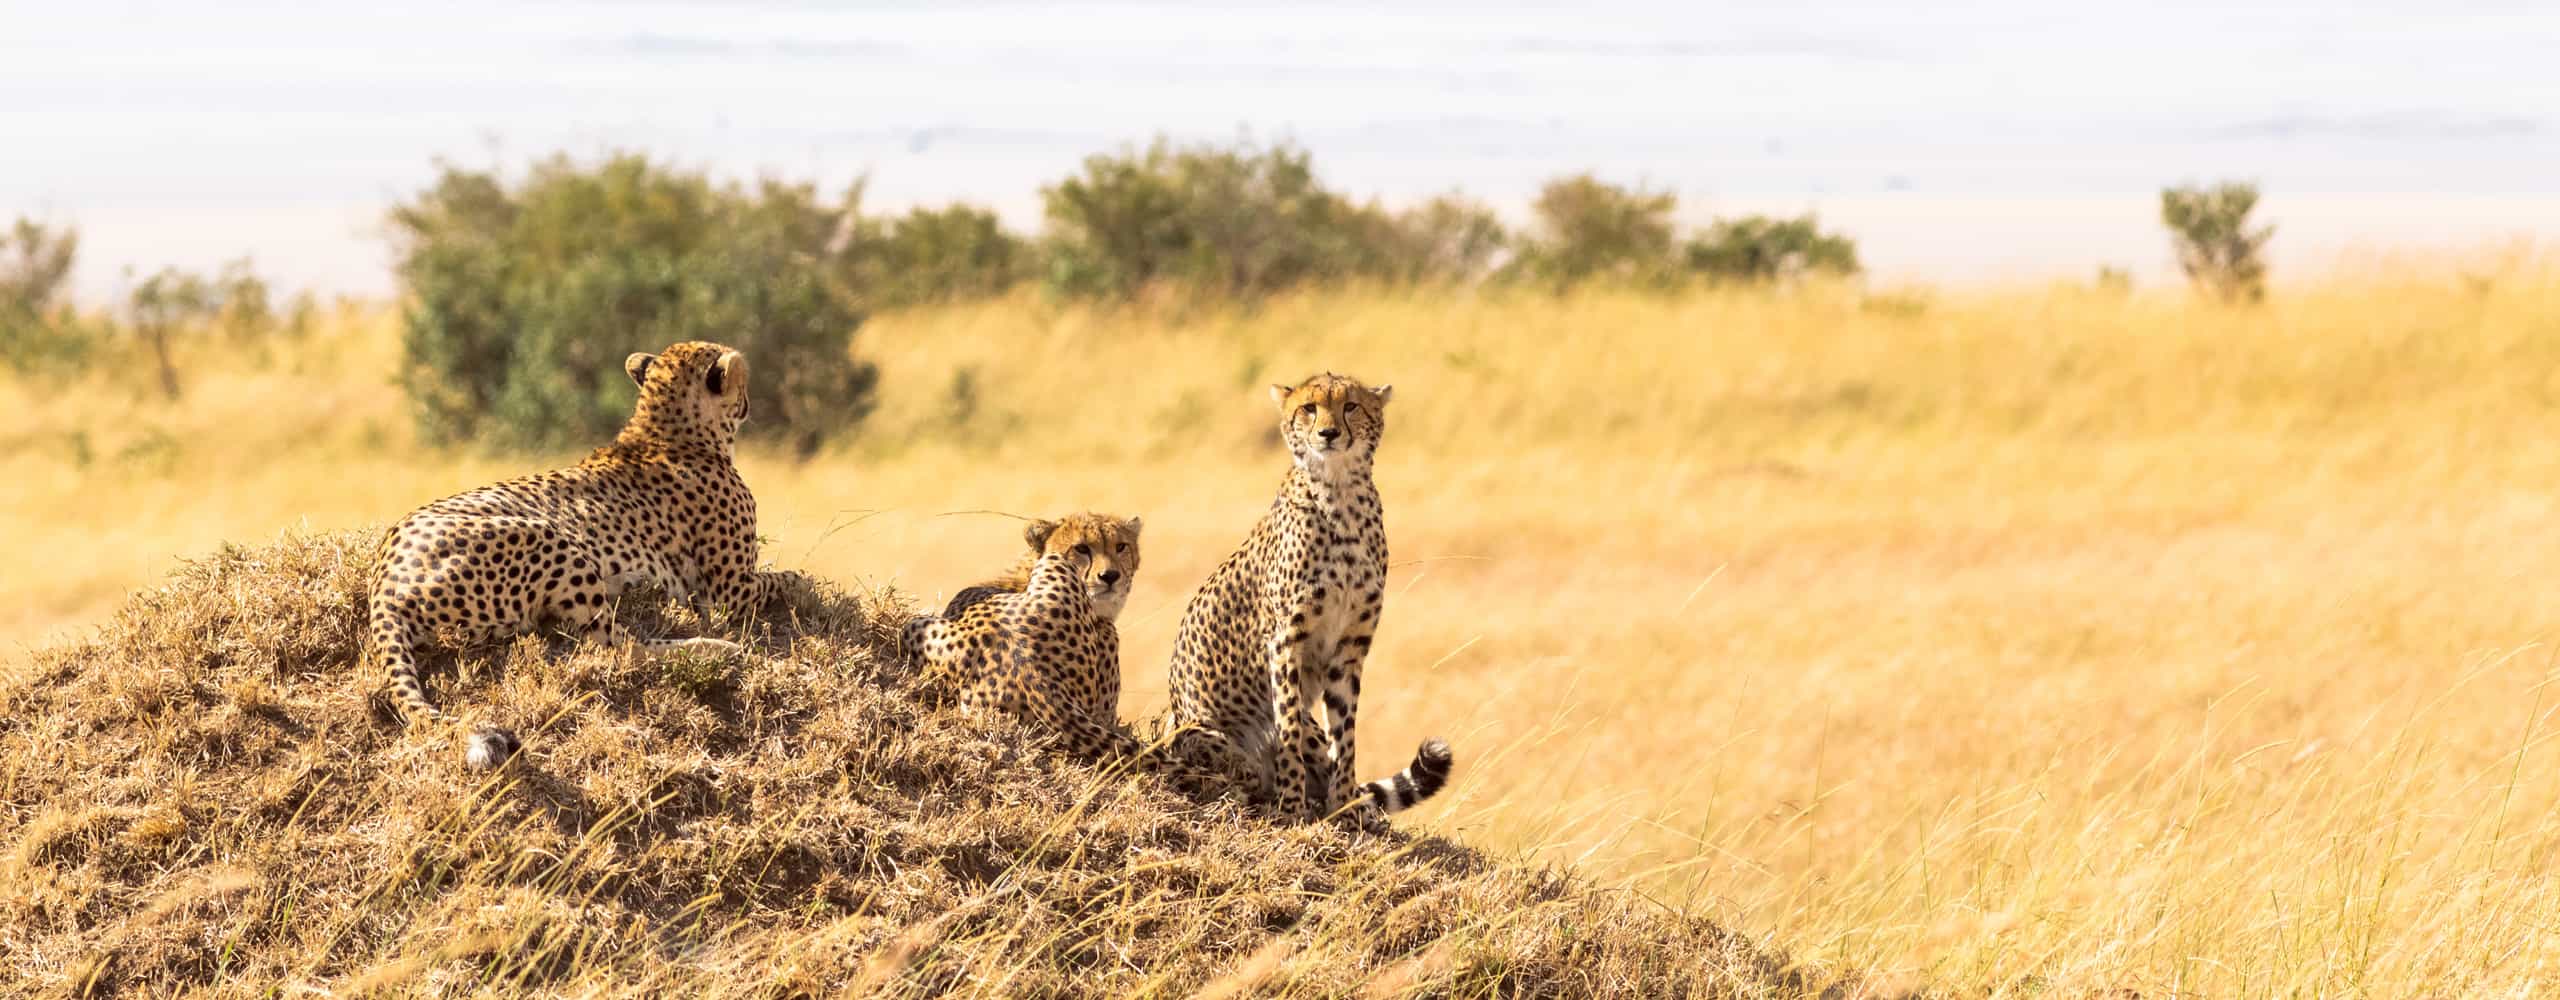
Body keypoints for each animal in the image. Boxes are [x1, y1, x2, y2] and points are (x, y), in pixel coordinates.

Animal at [363, 340, 778, 772]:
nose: (749, 401)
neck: (664, 428)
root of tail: (383, 584)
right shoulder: (730, 590)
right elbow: (784, 581)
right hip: (550, 538)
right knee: (620, 648)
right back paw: (715, 649)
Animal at [911, 516, 1249, 792]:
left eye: (1120, 546)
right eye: (1081, 548)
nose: (1110, 576)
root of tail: (1027, 665)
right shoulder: (1105, 712)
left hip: (915, 625)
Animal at [1167, 375, 1454, 828]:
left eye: (1351, 406)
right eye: (1308, 408)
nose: (1329, 433)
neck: (1340, 493)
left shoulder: (1350, 645)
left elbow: (1345, 734)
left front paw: (1347, 810)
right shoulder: (1286, 640)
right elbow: (1287, 728)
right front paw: (1290, 805)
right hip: (1196, 734)